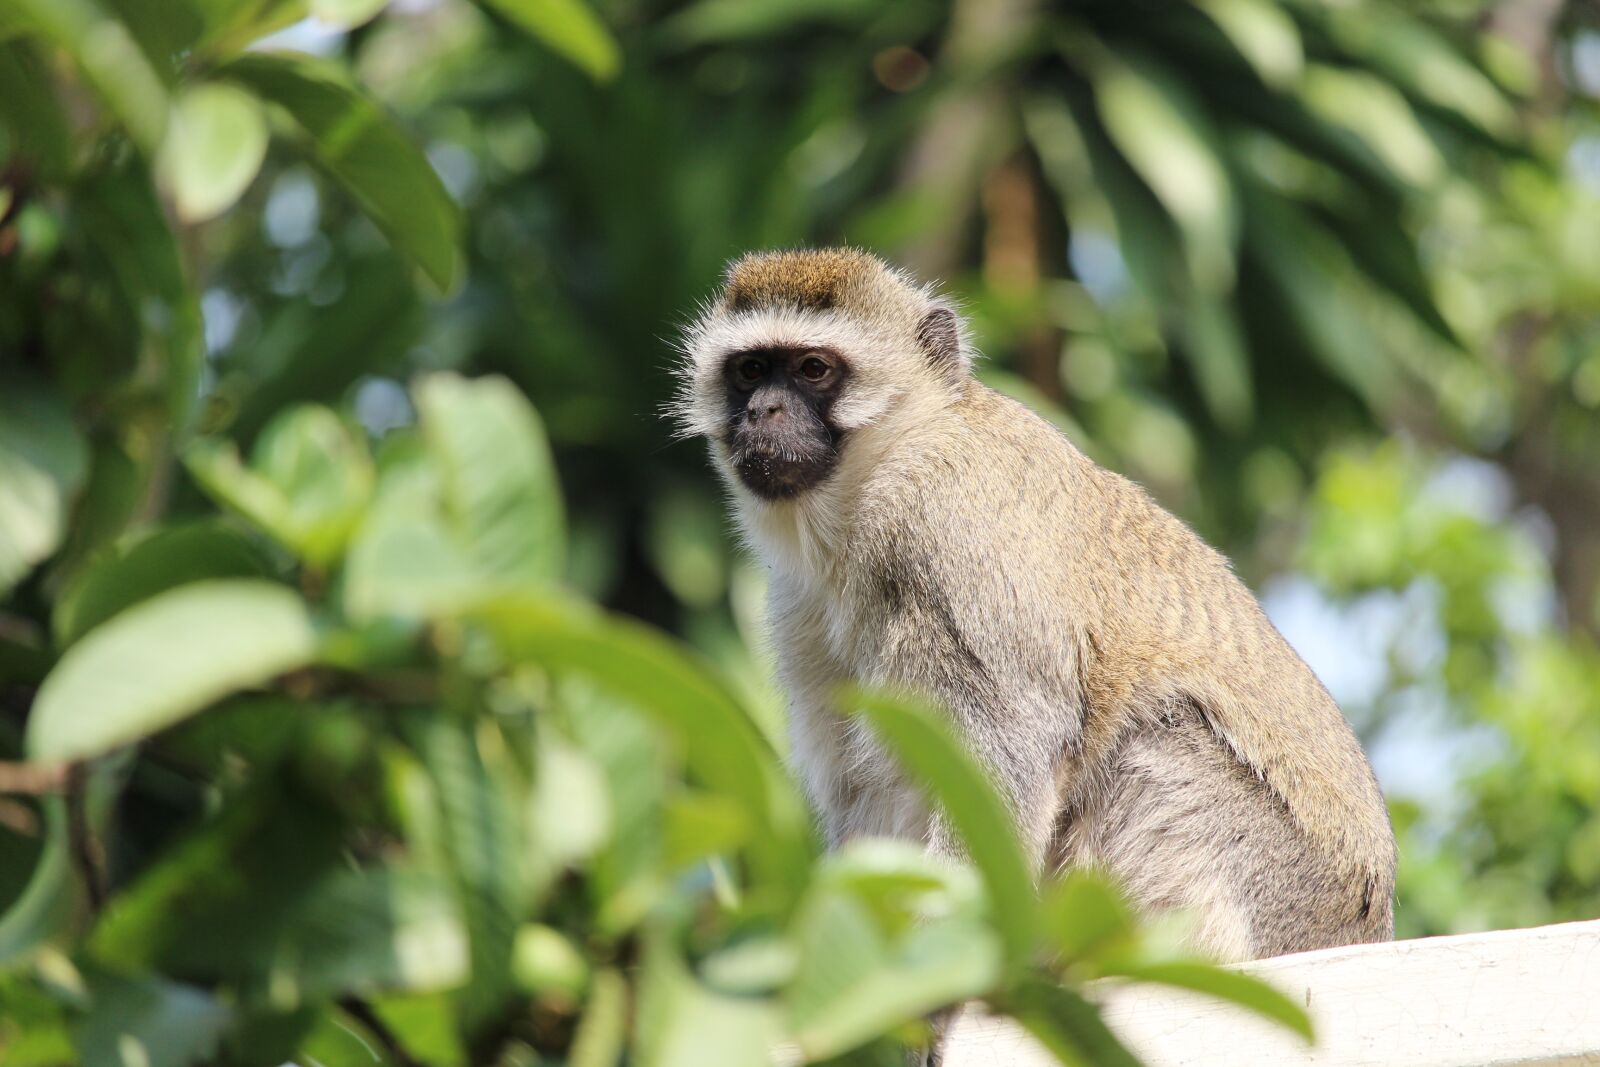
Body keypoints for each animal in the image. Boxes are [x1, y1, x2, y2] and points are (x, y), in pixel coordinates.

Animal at [668, 246, 1395, 966]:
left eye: (814, 369)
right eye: (750, 371)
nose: (763, 412)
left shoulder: (945, 522)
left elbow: (1008, 752)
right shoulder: (802, 606)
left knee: (1153, 742)